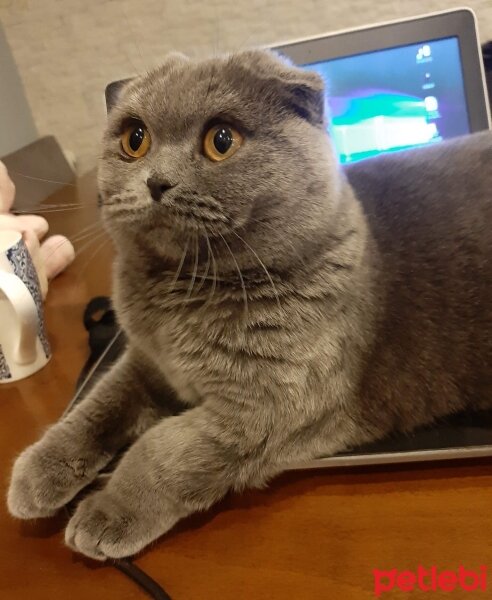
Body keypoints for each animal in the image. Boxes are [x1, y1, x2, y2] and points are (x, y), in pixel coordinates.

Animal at [6, 49, 492, 560]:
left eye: (221, 140)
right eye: (135, 139)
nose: (157, 181)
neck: (184, 297)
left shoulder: (271, 407)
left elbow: (161, 450)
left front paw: (104, 514)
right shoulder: (148, 360)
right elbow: (98, 403)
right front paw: (38, 471)